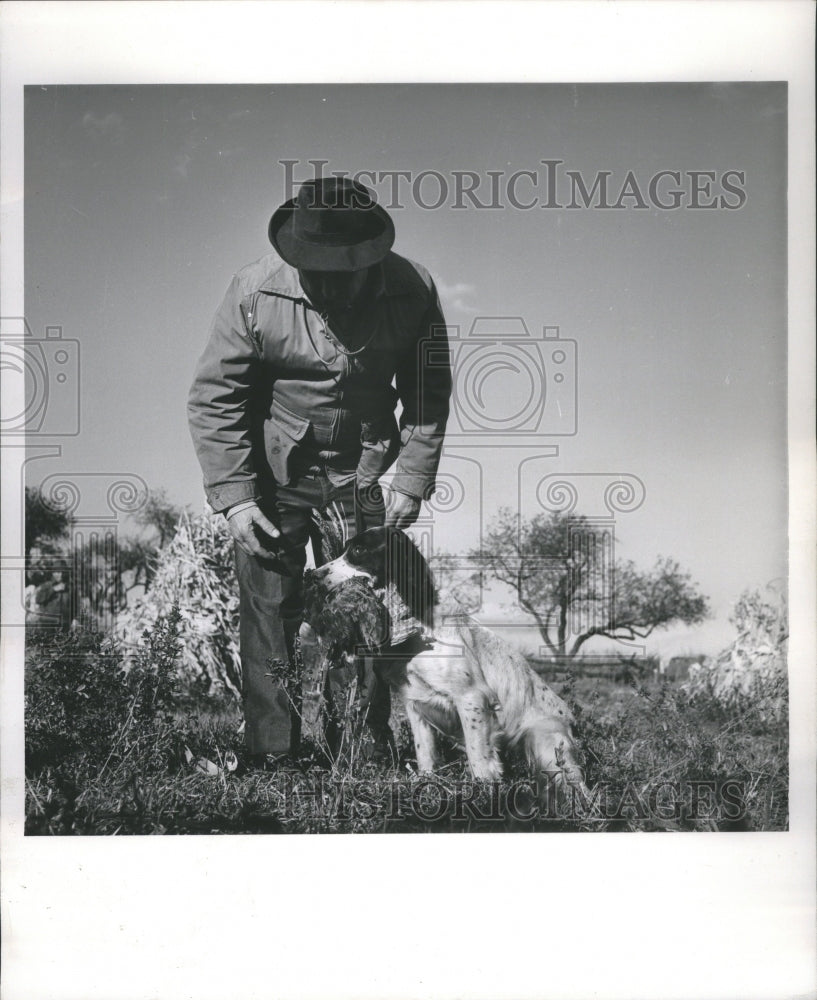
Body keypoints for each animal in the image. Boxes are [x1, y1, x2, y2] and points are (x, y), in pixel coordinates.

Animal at [302, 528, 588, 792]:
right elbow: (425, 754)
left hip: (544, 741)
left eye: (359, 550)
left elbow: (478, 758)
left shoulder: (472, 699)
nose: (313, 576)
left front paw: (482, 792)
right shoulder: (414, 702)